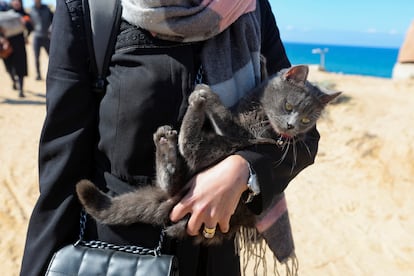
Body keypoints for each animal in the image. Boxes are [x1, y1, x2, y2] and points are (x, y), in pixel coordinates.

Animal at [77, 65, 340, 246]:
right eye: (288, 106)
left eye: (306, 120)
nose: (291, 127)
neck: (259, 108)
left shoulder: (242, 130)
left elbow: (223, 114)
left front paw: (205, 92)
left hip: (218, 147)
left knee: (189, 152)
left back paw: (183, 120)